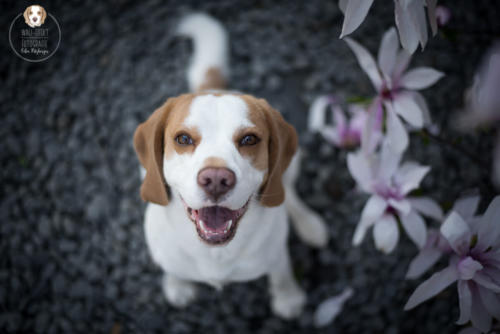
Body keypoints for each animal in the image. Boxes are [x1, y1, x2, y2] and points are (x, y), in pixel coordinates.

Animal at [133, 13, 328, 318]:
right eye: (183, 138)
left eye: (249, 139)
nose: (215, 179)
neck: (216, 253)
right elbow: (171, 268)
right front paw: (177, 286)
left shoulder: (276, 255)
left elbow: (281, 272)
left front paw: (288, 297)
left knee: (290, 195)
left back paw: (310, 225)